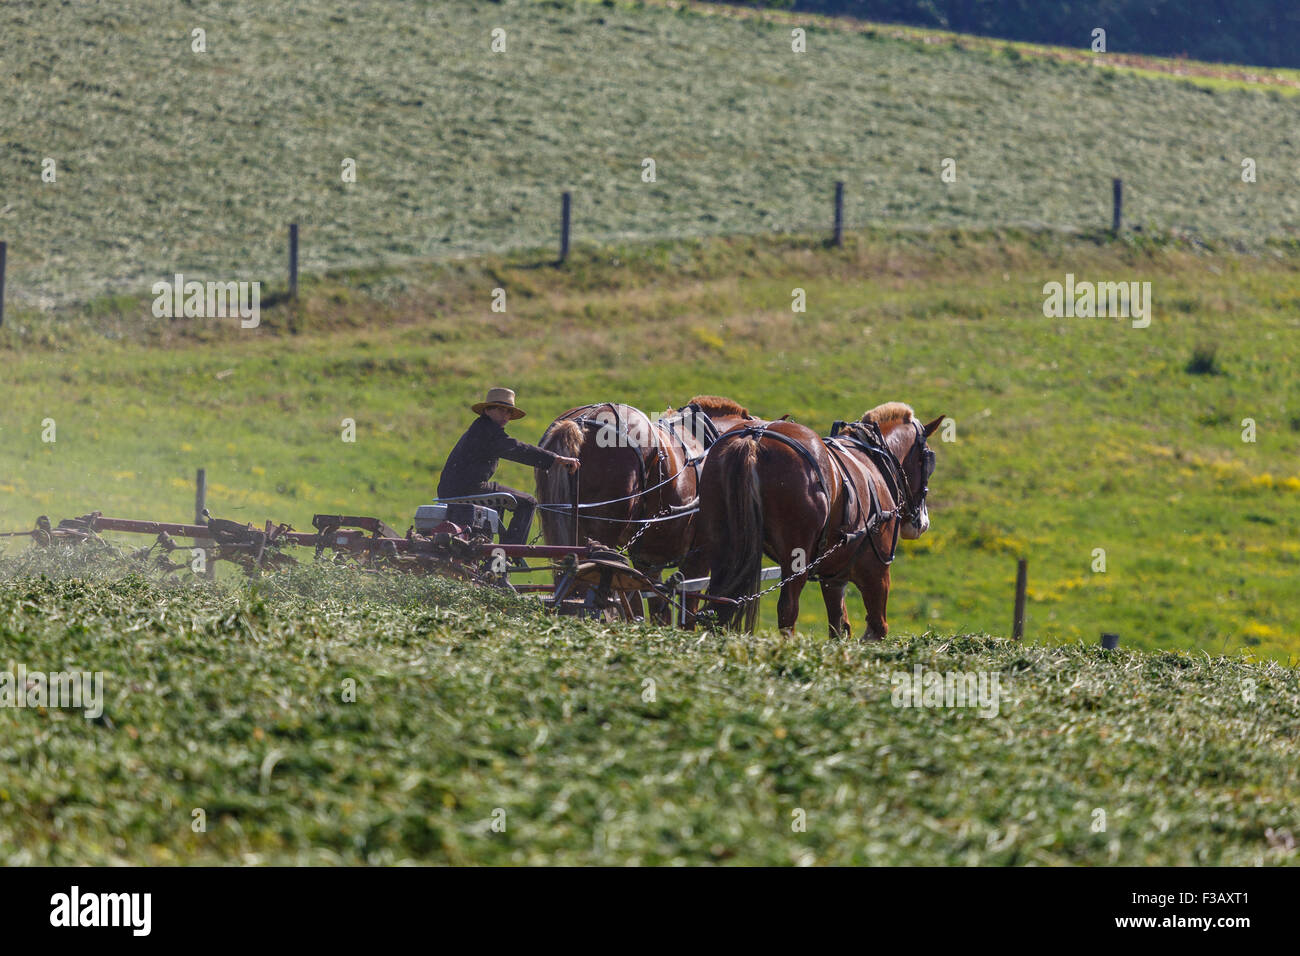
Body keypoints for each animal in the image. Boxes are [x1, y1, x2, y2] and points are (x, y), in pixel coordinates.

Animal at [702, 403, 946, 642]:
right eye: (927, 461)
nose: (921, 523)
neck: (875, 461)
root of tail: (754, 439)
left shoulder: (833, 578)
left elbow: (839, 627)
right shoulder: (876, 569)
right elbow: (877, 629)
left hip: (724, 550)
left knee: (716, 606)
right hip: (796, 558)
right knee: (787, 610)